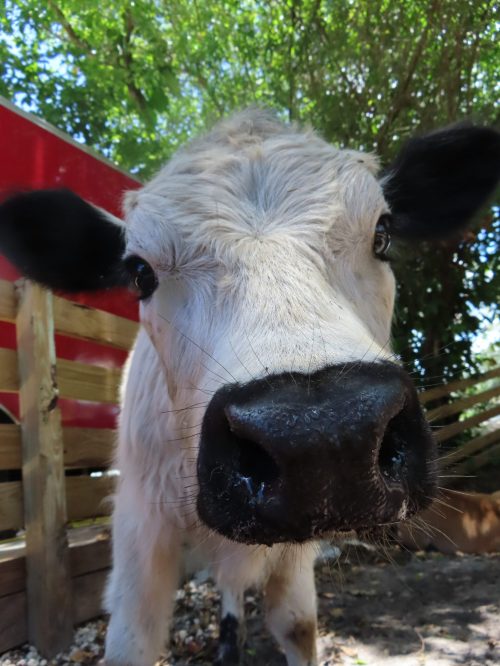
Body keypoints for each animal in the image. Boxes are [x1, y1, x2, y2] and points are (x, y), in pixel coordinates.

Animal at [0, 110, 499, 666]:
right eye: (140, 273)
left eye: (382, 234)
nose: (324, 436)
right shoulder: (139, 526)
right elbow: (133, 639)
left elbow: (297, 624)